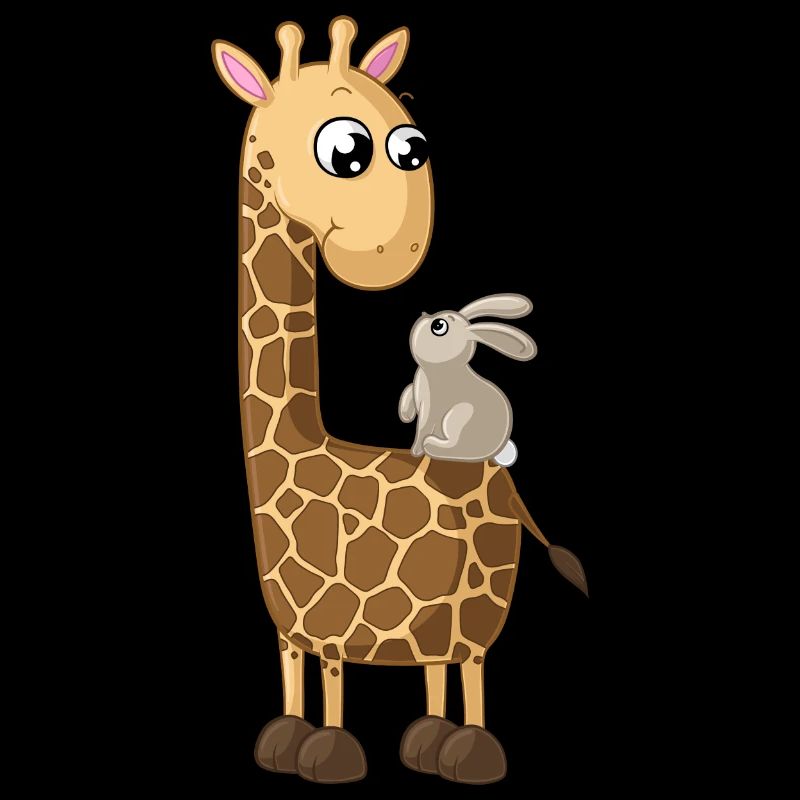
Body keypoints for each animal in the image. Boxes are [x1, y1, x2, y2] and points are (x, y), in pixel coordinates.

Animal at [212, 17, 587, 785]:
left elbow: (332, 677)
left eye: (413, 146)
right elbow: (295, 673)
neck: (304, 445)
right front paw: (283, 742)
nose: (401, 251)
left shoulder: (333, 618)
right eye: (346, 149)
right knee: (436, 664)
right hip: (438, 611)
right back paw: (426, 740)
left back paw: (468, 752)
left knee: (471, 661)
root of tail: (505, 481)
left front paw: (330, 755)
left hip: (483, 595)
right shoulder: (289, 624)